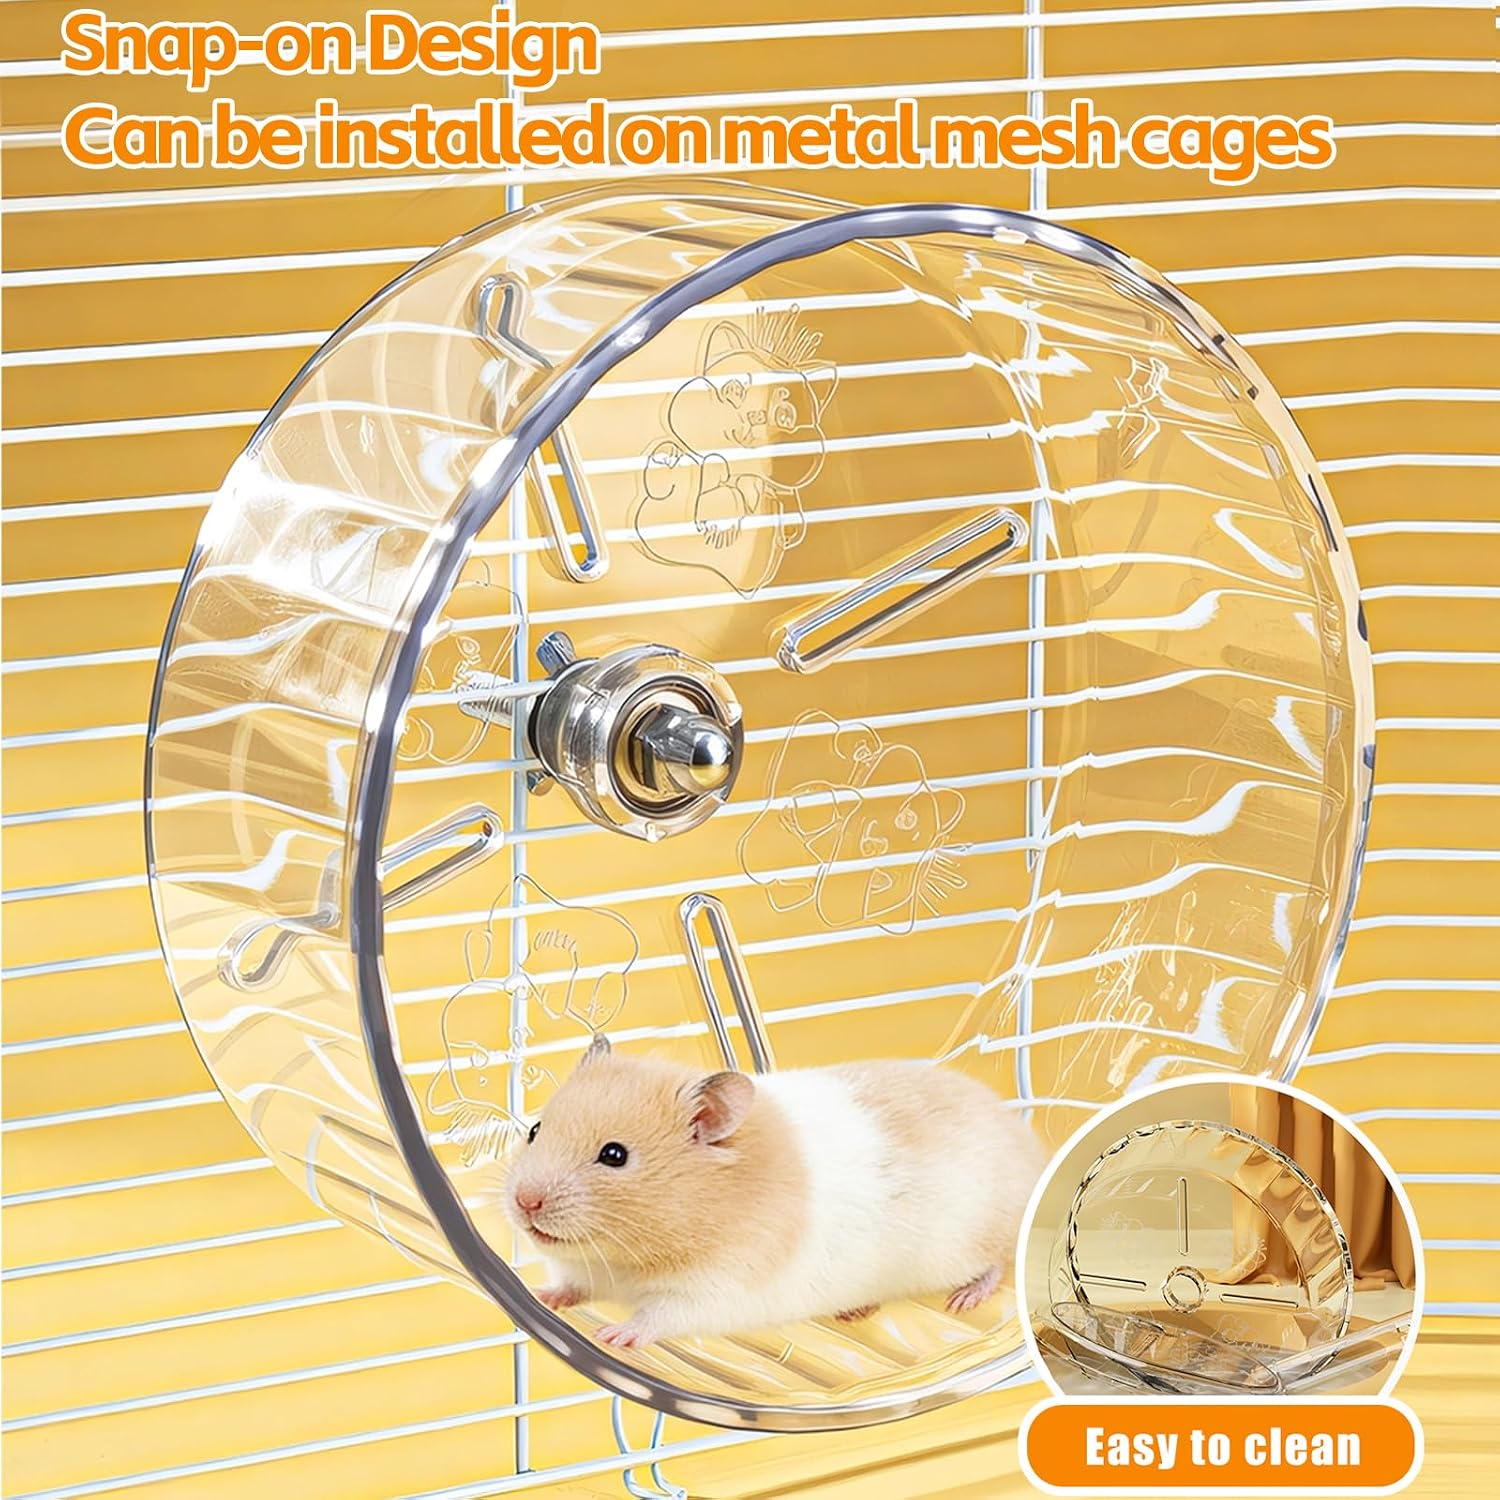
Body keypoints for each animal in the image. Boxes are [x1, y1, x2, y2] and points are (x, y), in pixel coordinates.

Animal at [502, 1034, 1046, 1347]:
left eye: (614, 1155)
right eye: (535, 1130)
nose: (525, 1202)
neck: (627, 1258)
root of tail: (1027, 1141)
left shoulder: (716, 1289)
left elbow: (659, 1317)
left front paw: (614, 1334)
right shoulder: (584, 1270)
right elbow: (571, 1284)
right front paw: (541, 1296)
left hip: (976, 1236)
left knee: (997, 1262)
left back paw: (964, 1300)